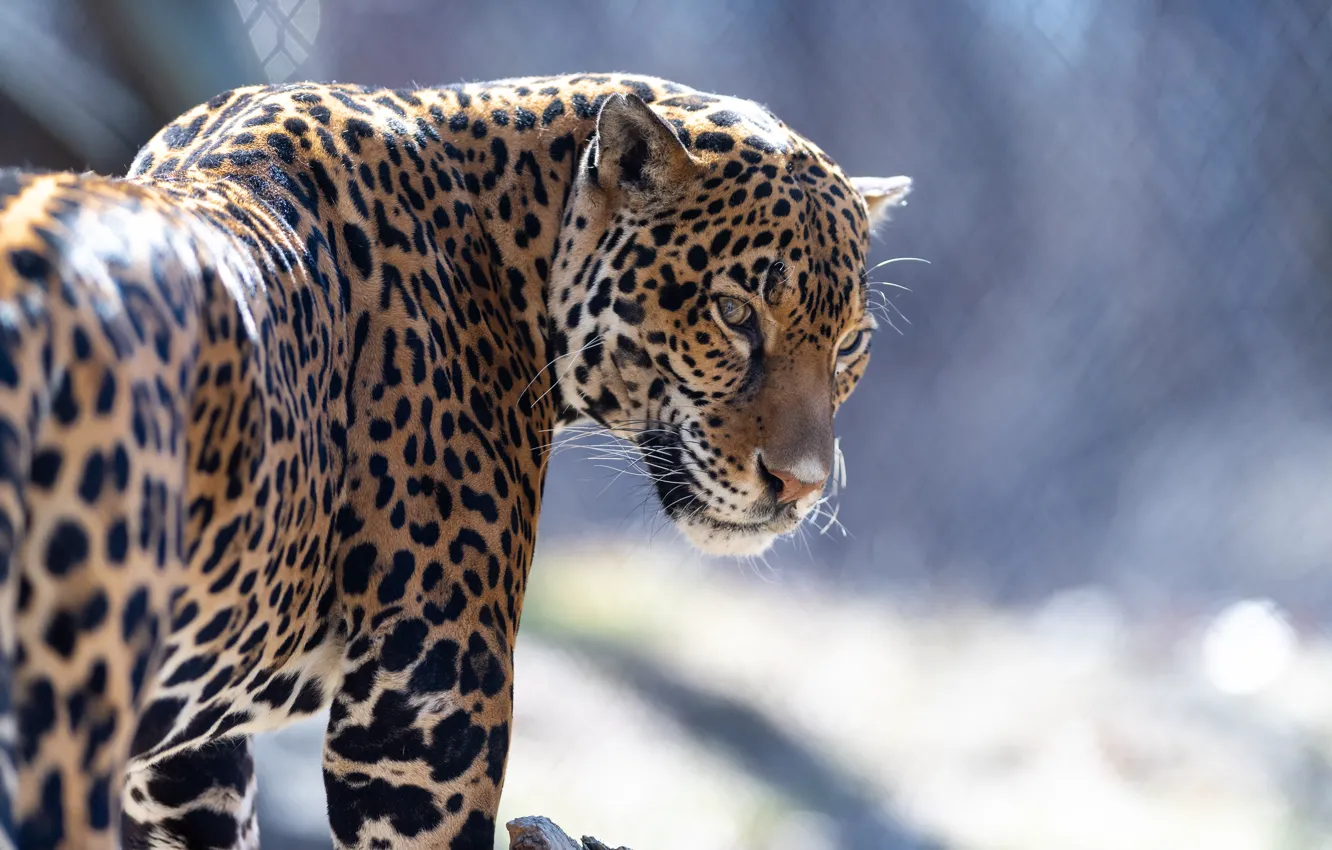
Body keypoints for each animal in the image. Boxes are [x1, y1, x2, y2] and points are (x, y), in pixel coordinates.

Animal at [0, 72, 911, 849]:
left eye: (848, 346)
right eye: (733, 312)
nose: (799, 486)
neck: (518, 244)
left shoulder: (187, 767)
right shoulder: (422, 713)